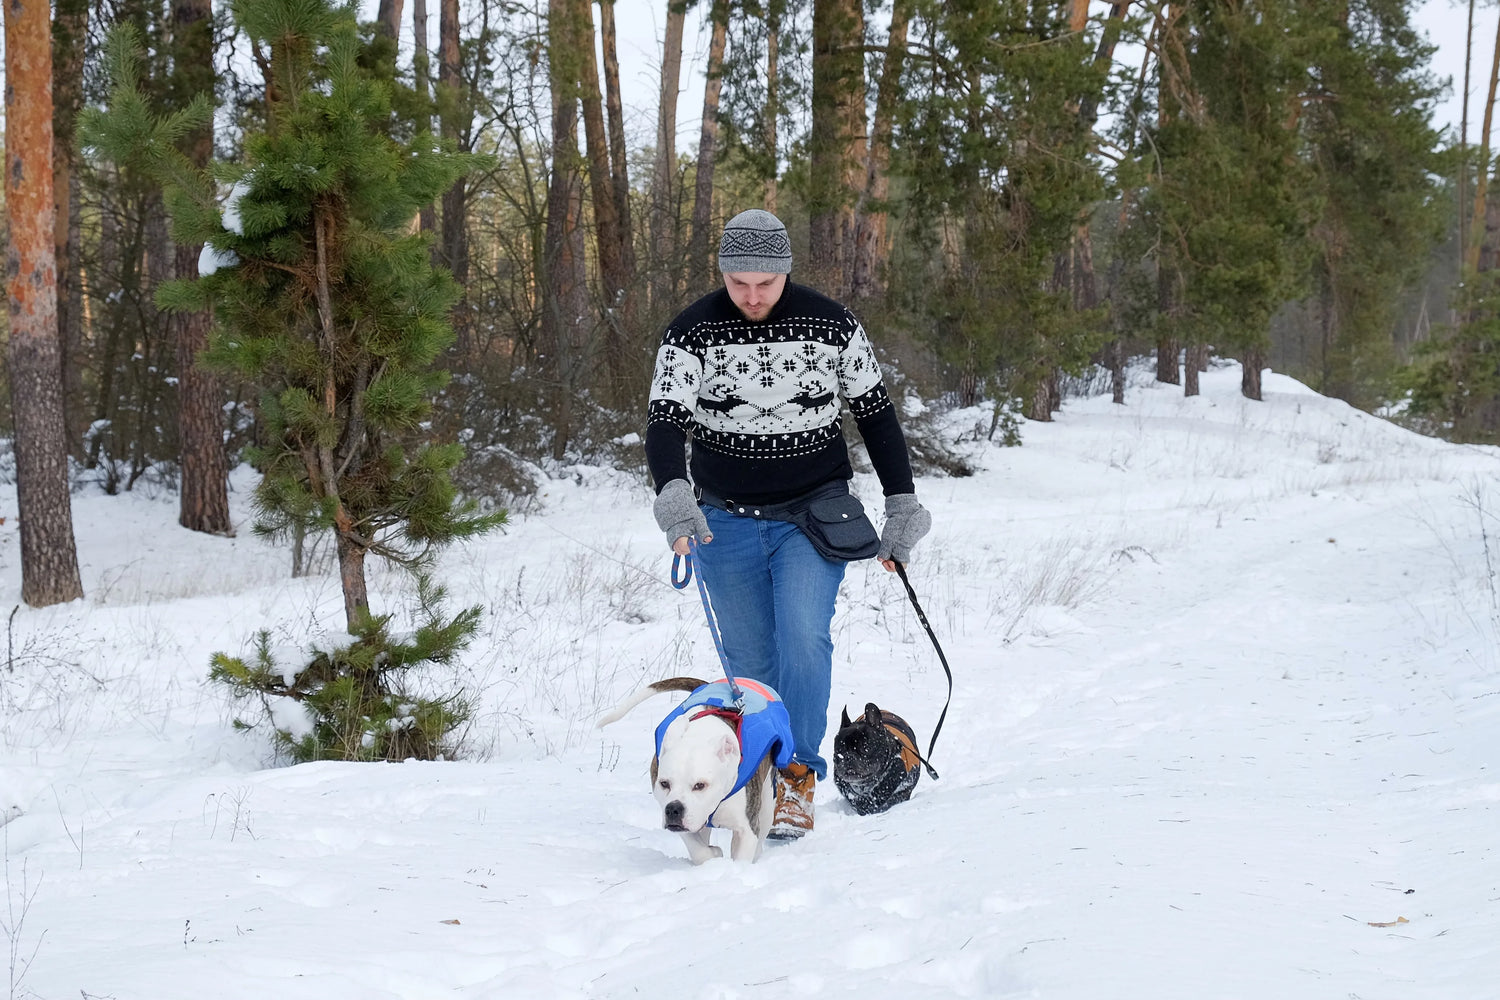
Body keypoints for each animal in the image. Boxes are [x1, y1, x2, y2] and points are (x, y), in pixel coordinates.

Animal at [594, 677, 798, 863]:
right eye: (664, 783)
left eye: (700, 785)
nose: (673, 809)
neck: (699, 736)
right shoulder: (688, 822)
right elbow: (699, 850)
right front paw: (713, 854)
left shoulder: (746, 828)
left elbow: (742, 854)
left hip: (767, 804)